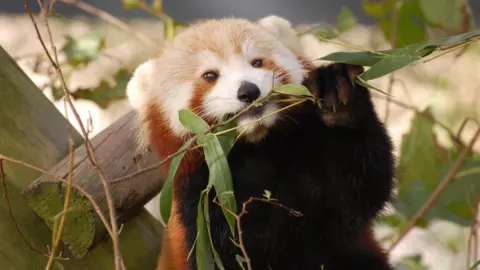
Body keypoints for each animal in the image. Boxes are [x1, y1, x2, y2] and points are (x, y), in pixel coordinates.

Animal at [126, 14, 394, 270]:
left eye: (256, 62)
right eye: (210, 76)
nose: (248, 91)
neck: (255, 150)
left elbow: (358, 188)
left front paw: (336, 94)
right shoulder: (203, 203)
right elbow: (229, 255)